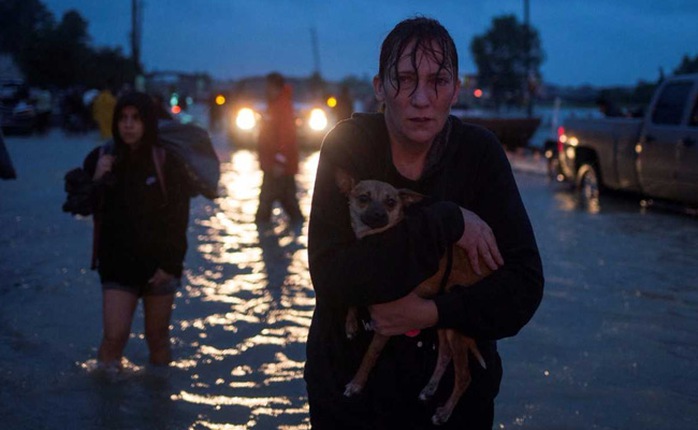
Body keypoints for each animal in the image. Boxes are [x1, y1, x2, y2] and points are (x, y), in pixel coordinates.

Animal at [336, 170, 490, 424]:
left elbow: (370, 355)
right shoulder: (364, 276)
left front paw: (357, 384)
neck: (376, 240)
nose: (378, 214)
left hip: (454, 330)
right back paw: (430, 388)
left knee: (464, 376)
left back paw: (444, 412)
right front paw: (350, 324)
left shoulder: (387, 323)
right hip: (441, 320)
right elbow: (353, 293)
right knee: (445, 354)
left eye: (391, 202)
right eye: (363, 198)